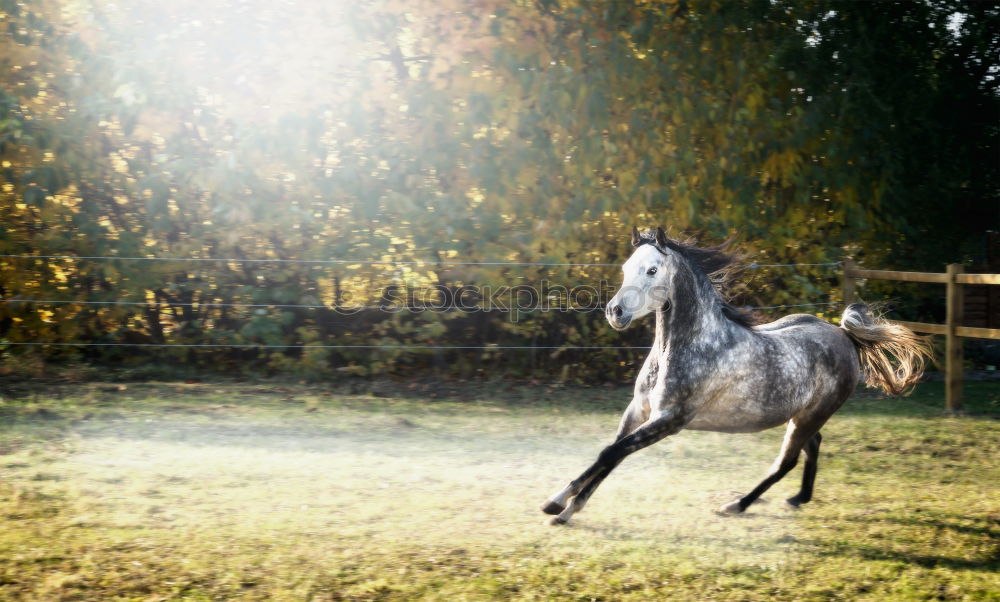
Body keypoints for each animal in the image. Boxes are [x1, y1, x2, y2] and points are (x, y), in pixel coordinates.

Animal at [544, 227, 932, 524]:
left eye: (652, 270)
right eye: (627, 268)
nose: (615, 312)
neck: (689, 346)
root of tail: (843, 335)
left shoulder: (670, 420)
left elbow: (612, 453)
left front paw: (562, 507)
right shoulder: (639, 411)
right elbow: (610, 453)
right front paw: (562, 504)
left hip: (811, 415)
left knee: (787, 461)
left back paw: (737, 504)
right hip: (802, 415)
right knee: (812, 447)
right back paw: (797, 499)